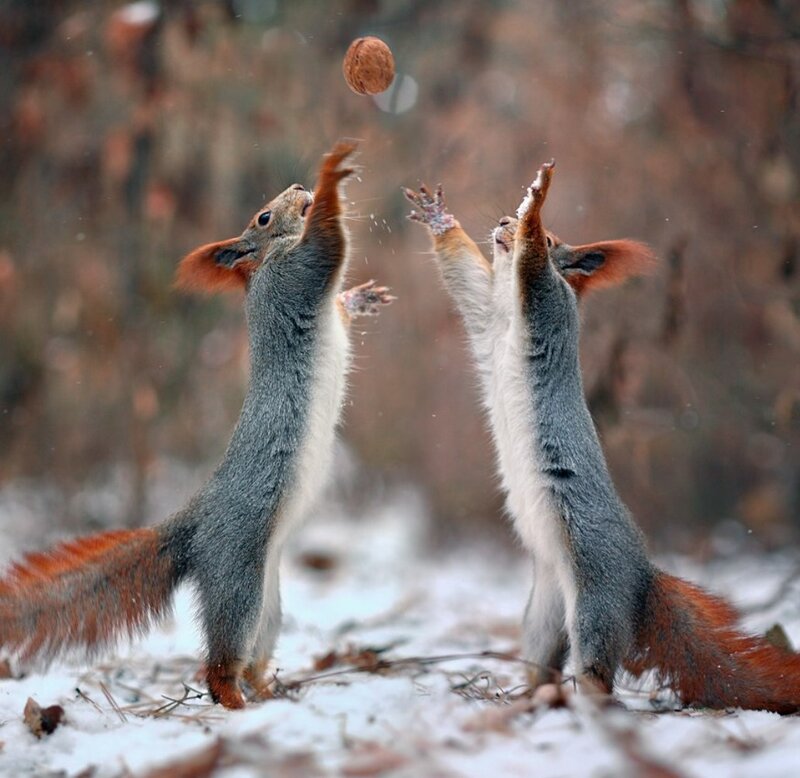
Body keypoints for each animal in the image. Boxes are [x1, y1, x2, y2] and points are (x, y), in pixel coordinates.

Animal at [0, 141, 394, 710]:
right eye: (263, 216)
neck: (266, 264)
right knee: (218, 666)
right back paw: (236, 702)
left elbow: (338, 294)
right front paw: (331, 175)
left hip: (267, 604)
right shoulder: (296, 277)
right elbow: (328, 244)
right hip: (237, 579)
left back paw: (268, 692)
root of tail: (196, 523)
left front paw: (361, 297)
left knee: (252, 656)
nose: (298, 187)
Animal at [404, 168, 800, 713]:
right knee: (545, 661)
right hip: (545, 611)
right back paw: (527, 698)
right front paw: (440, 217)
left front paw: (537, 202)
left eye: (555, 240)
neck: (507, 309)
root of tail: (640, 577)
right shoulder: (484, 312)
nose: (504, 221)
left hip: (595, 595)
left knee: (597, 670)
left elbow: (533, 268)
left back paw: (584, 702)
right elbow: (462, 273)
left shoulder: (546, 303)